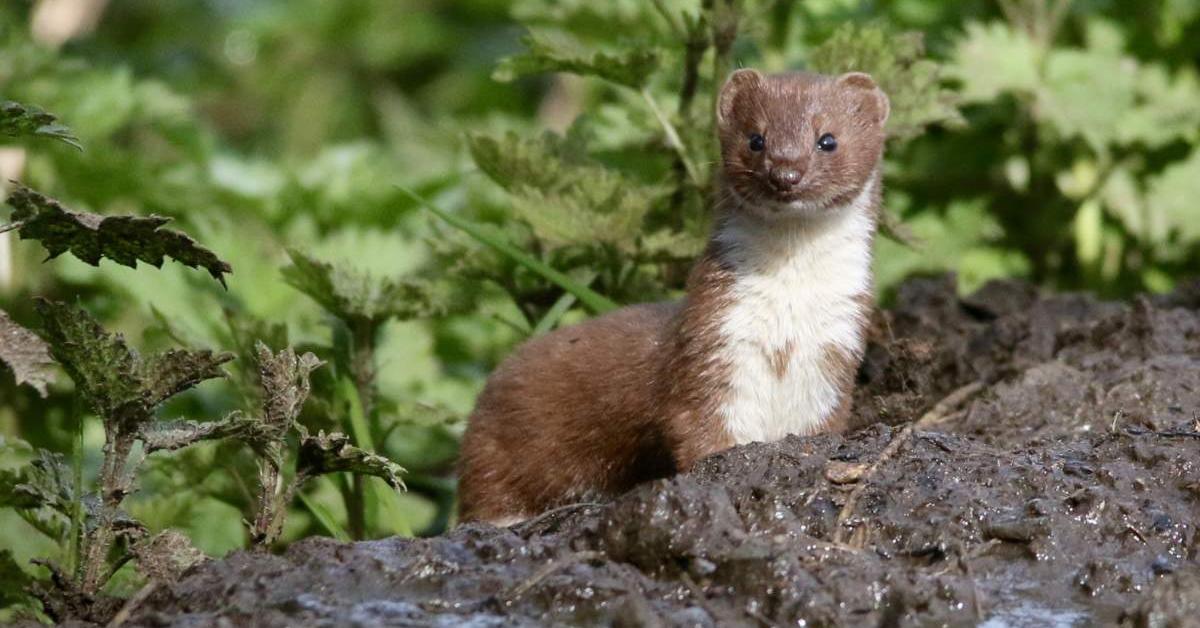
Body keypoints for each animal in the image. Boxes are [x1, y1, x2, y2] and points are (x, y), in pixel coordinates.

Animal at [453, 68, 888, 528]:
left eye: (828, 139)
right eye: (756, 138)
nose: (786, 173)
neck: (785, 326)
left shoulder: (834, 354)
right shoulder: (710, 344)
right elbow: (699, 428)